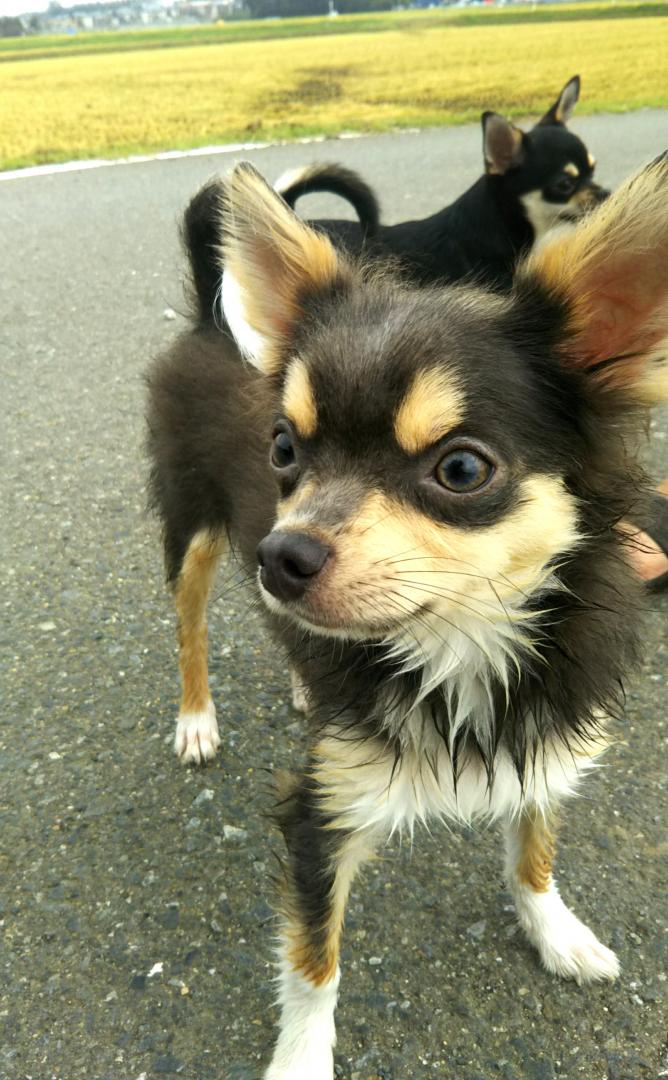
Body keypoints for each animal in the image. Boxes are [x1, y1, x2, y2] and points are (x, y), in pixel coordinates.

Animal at [148, 154, 668, 1080]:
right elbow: (314, 961)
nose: (279, 555)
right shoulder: (319, 815)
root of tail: (212, 313)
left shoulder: (544, 741)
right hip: (193, 533)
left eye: (460, 469)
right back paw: (197, 719)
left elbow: (534, 848)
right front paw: (302, 1059)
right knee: (189, 629)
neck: (459, 649)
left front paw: (556, 931)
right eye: (283, 449)